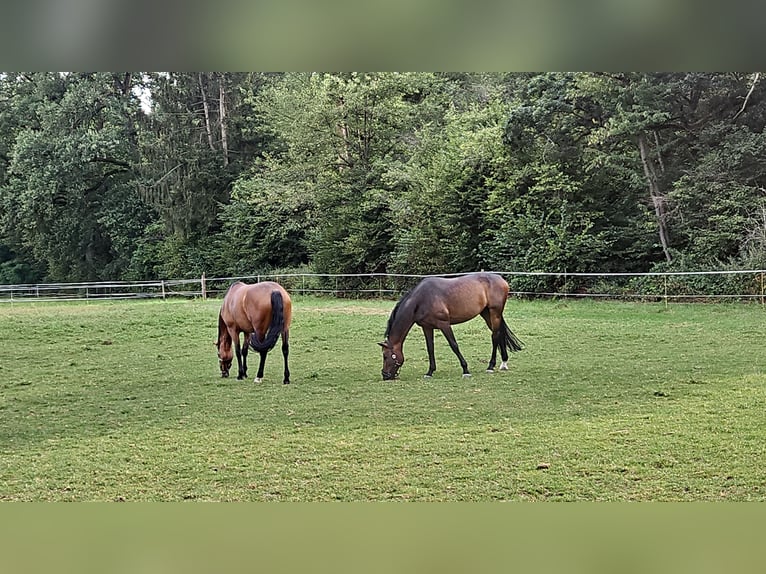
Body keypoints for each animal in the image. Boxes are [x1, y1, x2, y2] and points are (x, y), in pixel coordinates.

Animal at [378, 272, 522, 380]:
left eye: (385, 356)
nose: (385, 375)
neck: (421, 299)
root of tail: (501, 279)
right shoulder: (427, 327)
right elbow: (430, 348)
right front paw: (430, 372)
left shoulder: (444, 324)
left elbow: (454, 345)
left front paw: (465, 370)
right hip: (486, 313)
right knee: (499, 334)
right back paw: (503, 363)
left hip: (494, 313)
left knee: (495, 336)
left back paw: (491, 366)